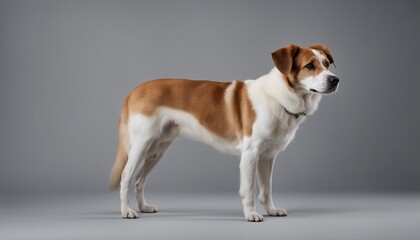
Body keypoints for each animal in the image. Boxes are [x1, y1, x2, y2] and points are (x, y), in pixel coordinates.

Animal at [108, 43, 338, 221]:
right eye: (310, 65)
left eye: (327, 64)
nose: (335, 80)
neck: (279, 97)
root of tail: (135, 90)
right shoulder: (250, 155)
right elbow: (249, 189)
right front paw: (251, 214)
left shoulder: (267, 157)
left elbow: (266, 189)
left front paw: (271, 210)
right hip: (141, 145)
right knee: (126, 176)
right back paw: (127, 211)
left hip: (157, 150)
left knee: (140, 180)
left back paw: (143, 207)